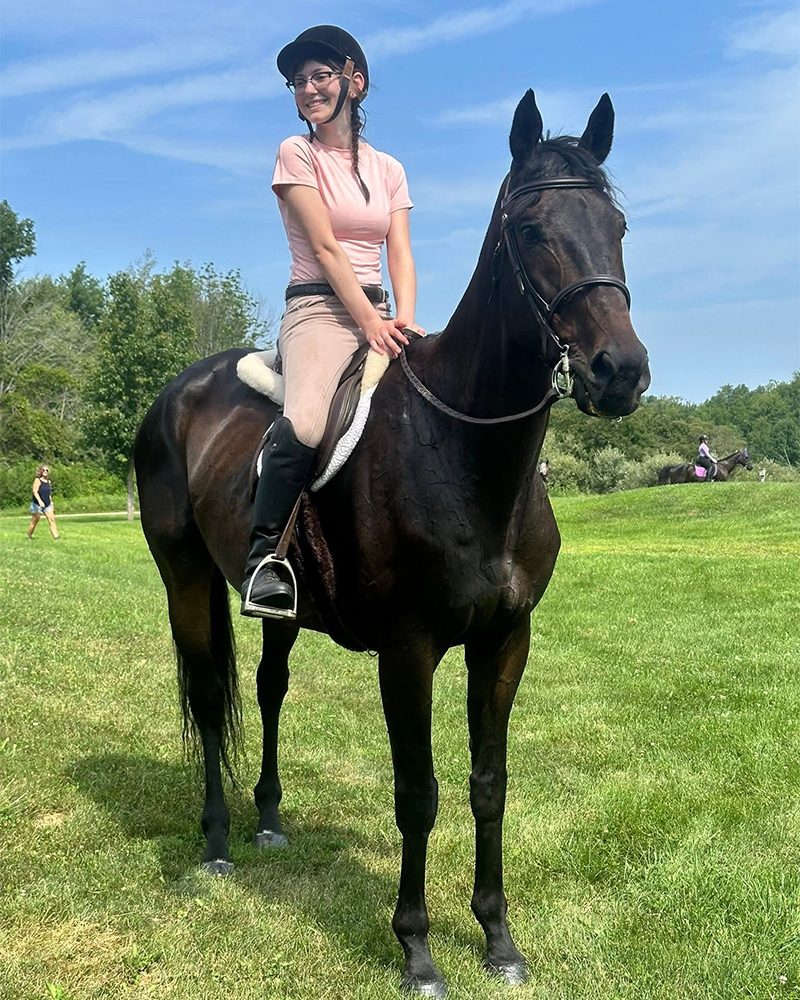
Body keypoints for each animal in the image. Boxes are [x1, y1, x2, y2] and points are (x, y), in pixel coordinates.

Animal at [134, 91, 650, 996]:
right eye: (531, 230)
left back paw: (269, 819)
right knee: (206, 693)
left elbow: (488, 785)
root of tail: (180, 390)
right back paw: (219, 841)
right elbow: (418, 792)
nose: (618, 370)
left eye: (616, 225)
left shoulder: (505, 640)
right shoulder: (409, 651)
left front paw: (499, 940)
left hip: (280, 606)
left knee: (267, 688)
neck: (460, 446)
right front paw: (416, 949)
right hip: (185, 580)